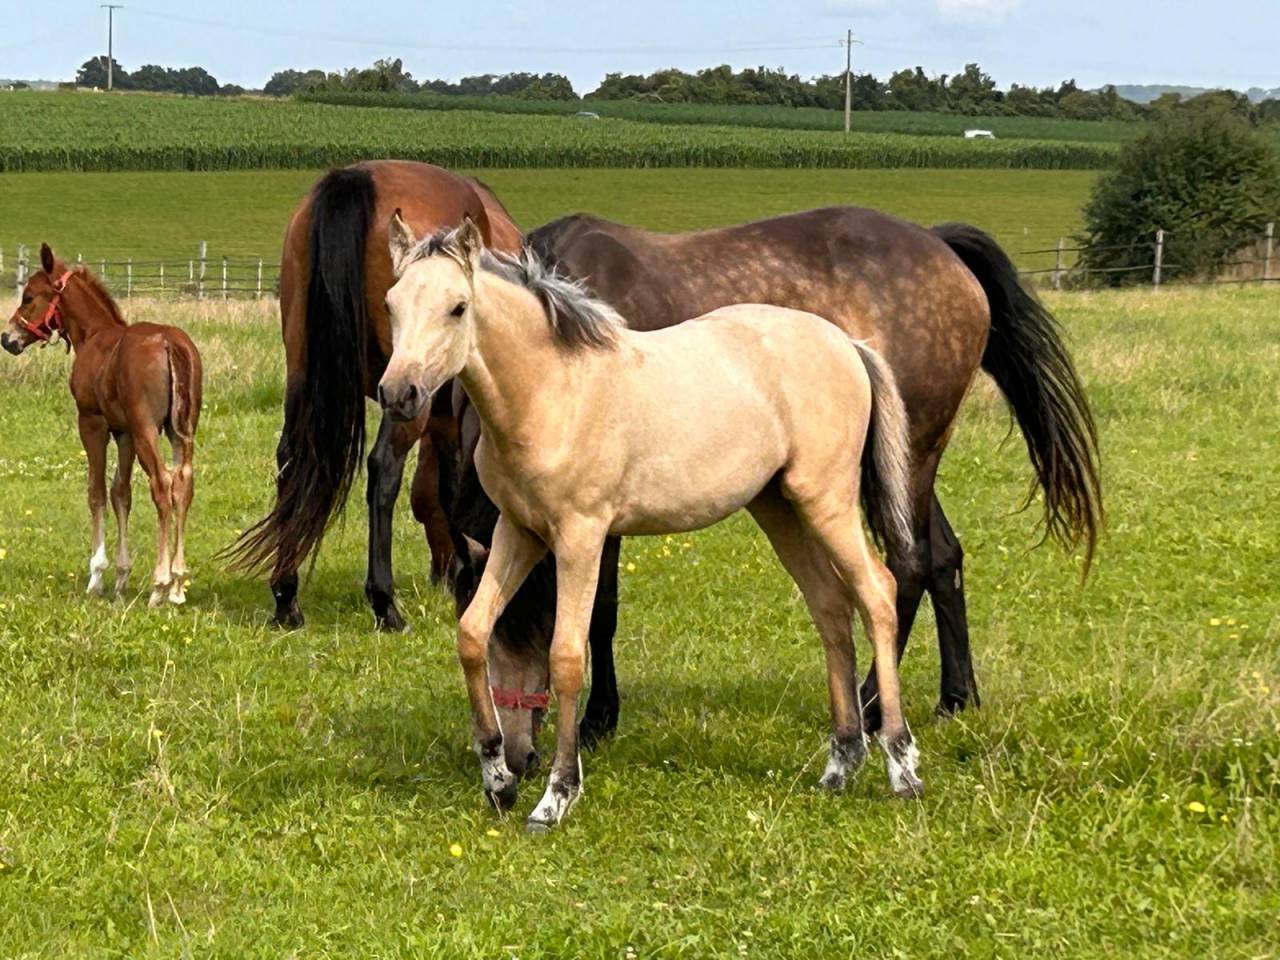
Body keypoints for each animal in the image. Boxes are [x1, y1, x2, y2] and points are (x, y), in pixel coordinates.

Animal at [2, 245, 203, 607]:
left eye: (28, 296)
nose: (7, 338)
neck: (94, 336)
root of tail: (169, 343)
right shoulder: (123, 432)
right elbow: (120, 493)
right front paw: (122, 576)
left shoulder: (92, 423)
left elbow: (95, 492)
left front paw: (96, 575)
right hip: (181, 431)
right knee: (184, 483)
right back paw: (179, 584)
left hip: (147, 430)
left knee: (162, 484)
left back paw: (160, 583)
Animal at [222, 161, 521, 629]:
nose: (440, 572)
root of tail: (357, 179)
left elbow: (447, 481)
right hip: (403, 400)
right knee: (383, 469)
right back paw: (385, 603)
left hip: (306, 373)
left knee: (290, 460)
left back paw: (286, 597)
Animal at [380, 215, 923, 830]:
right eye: (392, 304)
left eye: (458, 307)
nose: (398, 394)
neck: (553, 393)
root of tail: (847, 344)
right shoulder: (518, 533)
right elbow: (472, 632)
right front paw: (496, 778)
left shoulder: (581, 537)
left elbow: (568, 655)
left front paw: (555, 795)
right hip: (779, 508)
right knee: (830, 608)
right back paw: (841, 763)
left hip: (825, 501)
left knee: (877, 593)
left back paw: (901, 765)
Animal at [446, 207, 1101, 771]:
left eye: (531, 618)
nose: (518, 756)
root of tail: (940, 246)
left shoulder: (597, 513)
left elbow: (599, 614)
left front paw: (596, 722)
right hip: (896, 463)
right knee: (942, 556)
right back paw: (955, 697)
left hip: (904, 459)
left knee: (908, 564)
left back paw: (870, 708)